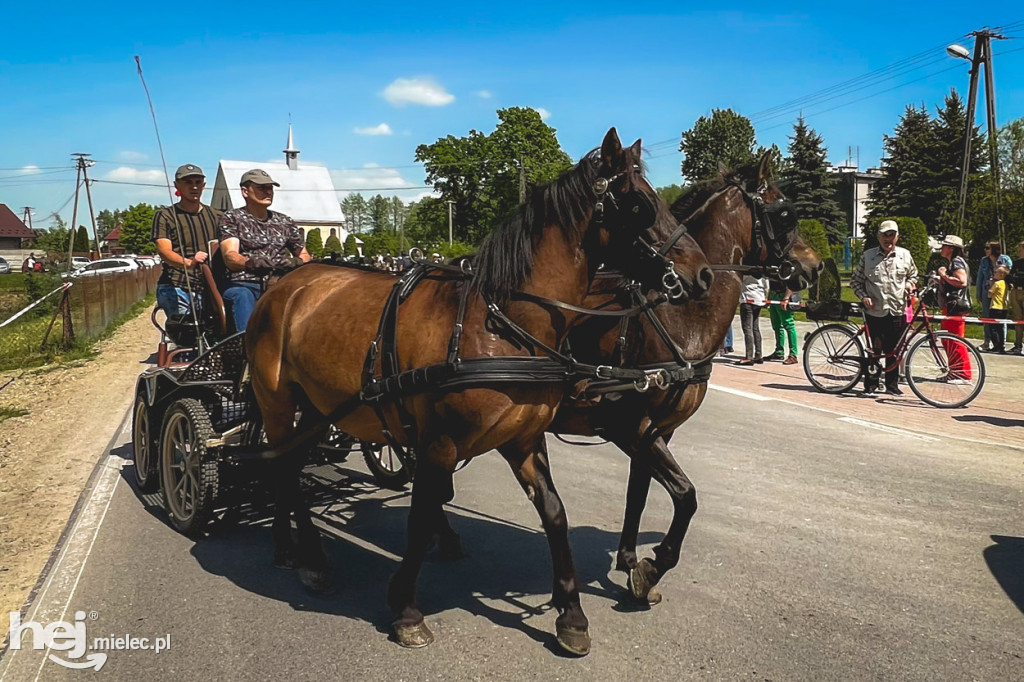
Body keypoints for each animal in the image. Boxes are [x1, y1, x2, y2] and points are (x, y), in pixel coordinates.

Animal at [246, 127, 712, 655]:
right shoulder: (439, 444)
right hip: (277, 401)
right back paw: (308, 556)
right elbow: (421, 515)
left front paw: (571, 615)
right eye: (639, 205)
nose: (701, 274)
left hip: (316, 407)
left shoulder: (525, 439)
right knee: (284, 468)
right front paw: (406, 609)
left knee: (289, 464)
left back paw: (288, 545)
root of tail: (288, 281)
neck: (502, 322)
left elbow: (555, 514)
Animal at [548, 152, 819, 602]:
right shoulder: (627, 425)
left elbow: (639, 492)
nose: (815, 266)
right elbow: (686, 495)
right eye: (784, 214)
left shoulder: (657, 431)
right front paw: (654, 565)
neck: (677, 315)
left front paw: (629, 563)